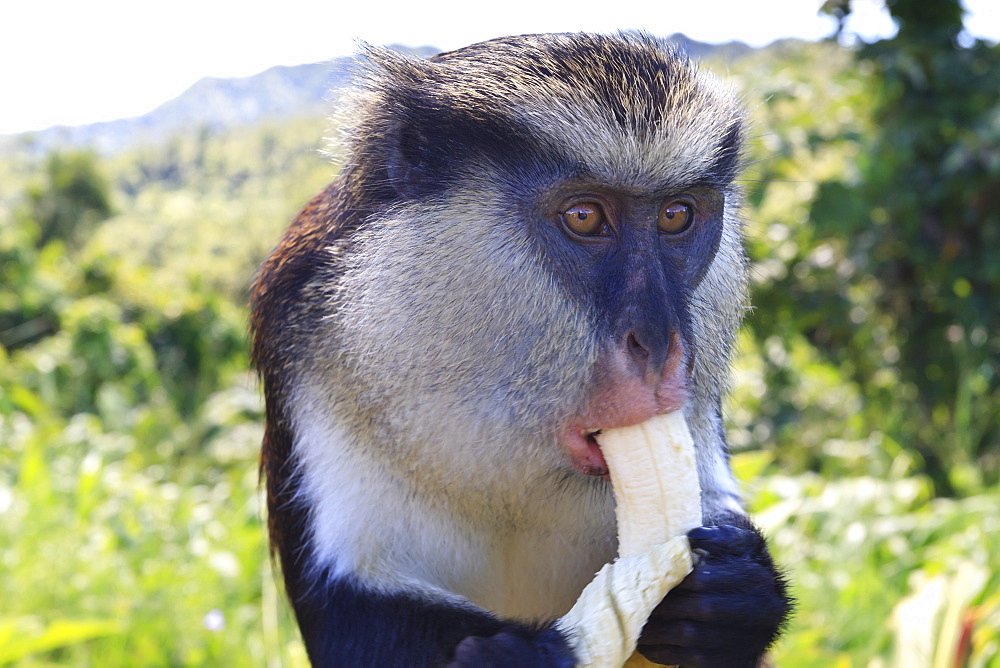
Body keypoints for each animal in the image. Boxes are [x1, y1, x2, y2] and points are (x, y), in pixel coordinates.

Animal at [254, 31, 792, 668]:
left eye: (676, 215)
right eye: (584, 217)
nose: (660, 343)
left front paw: (740, 595)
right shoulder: (305, 346)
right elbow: (346, 617)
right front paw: (520, 655)